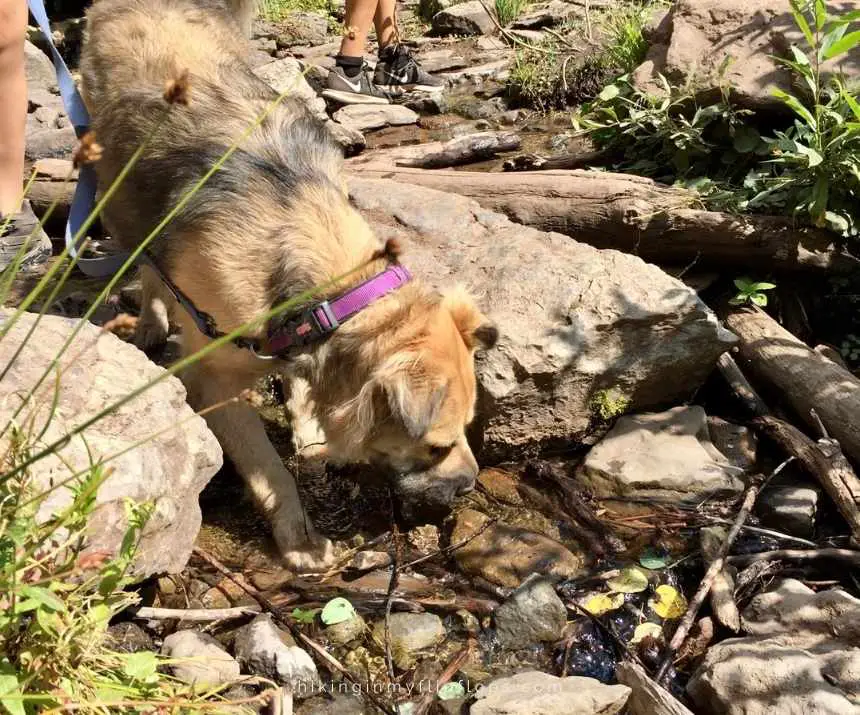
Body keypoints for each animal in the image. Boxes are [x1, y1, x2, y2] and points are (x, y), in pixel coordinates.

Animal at [82, 0, 498, 572]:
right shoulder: (214, 376)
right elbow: (268, 467)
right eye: (434, 447)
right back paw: (150, 321)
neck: (336, 294)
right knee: (146, 264)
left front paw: (308, 427)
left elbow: (300, 383)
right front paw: (298, 537)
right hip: (115, 193)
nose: (470, 485)